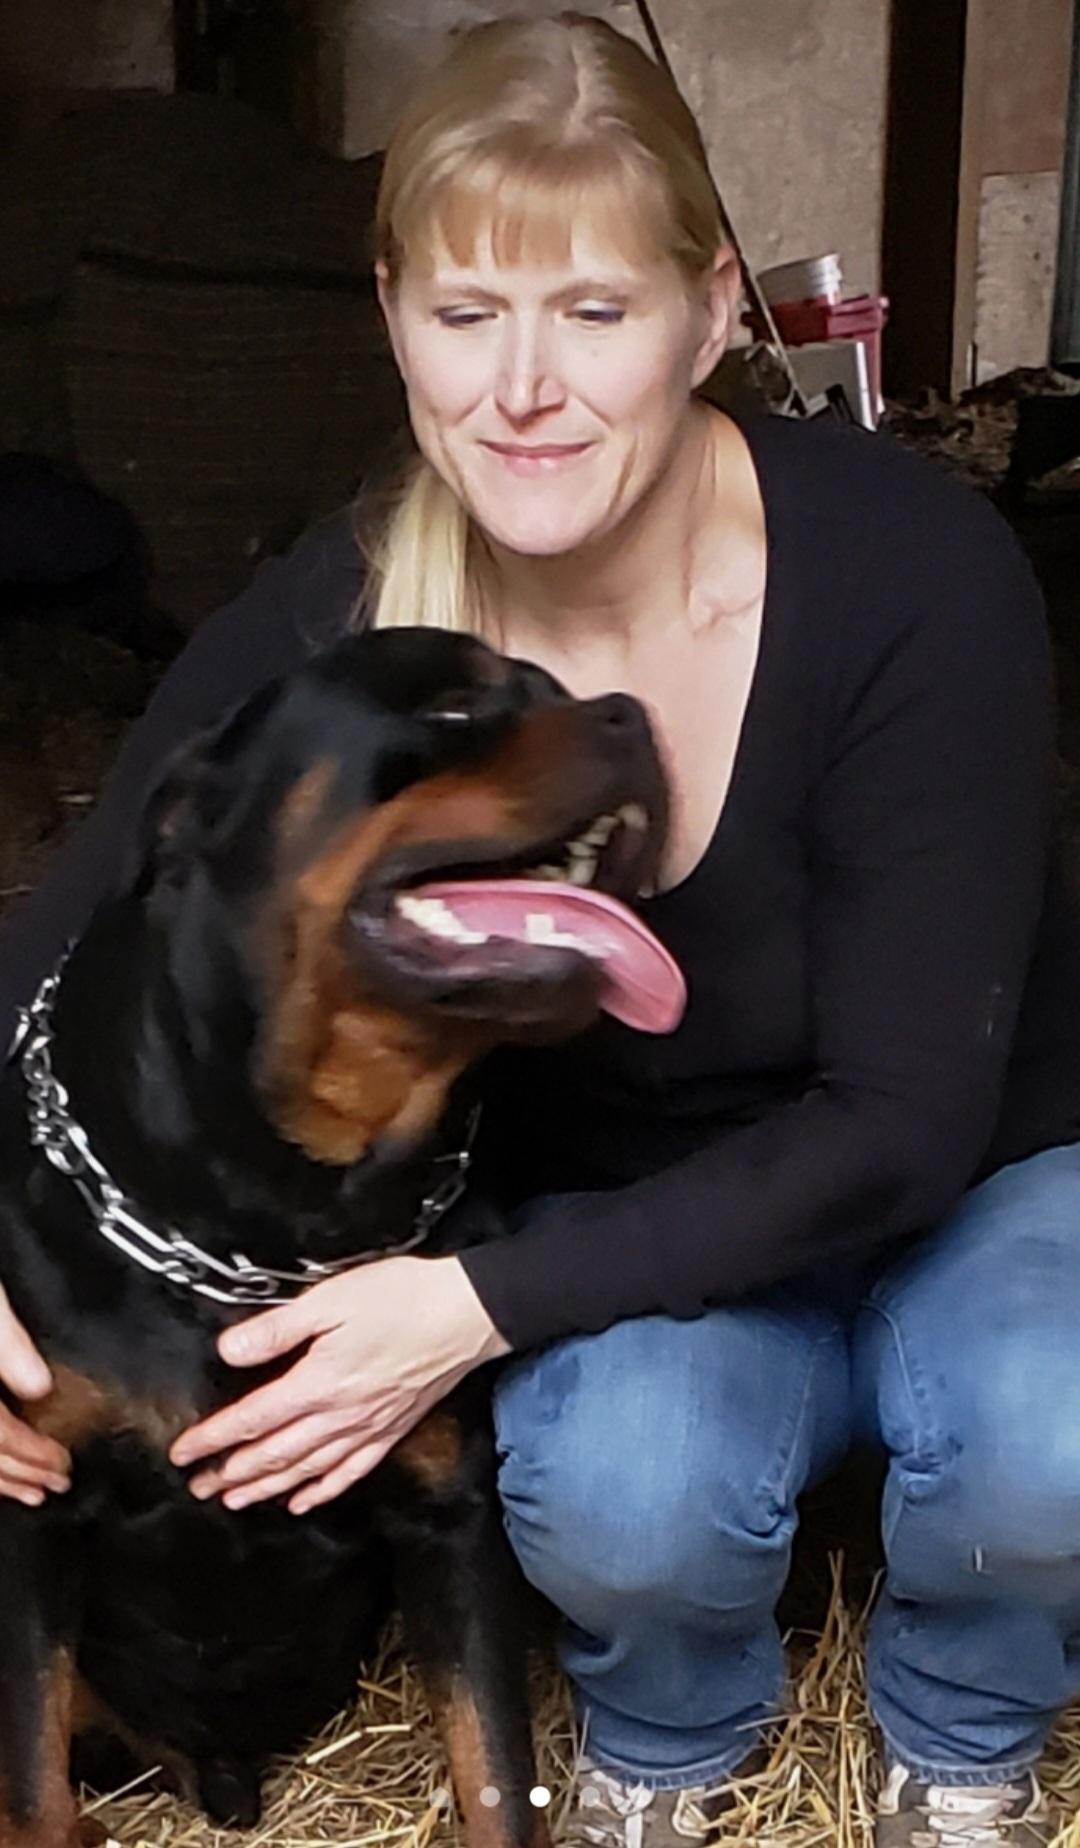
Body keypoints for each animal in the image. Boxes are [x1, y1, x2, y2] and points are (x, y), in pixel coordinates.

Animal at [0, 627, 671, 1848]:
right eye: (452, 706)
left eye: (552, 689)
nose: (631, 716)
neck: (268, 1226)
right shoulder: (32, 1509)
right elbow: (31, 1788)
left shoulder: (450, 1516)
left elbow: (494, 1768)